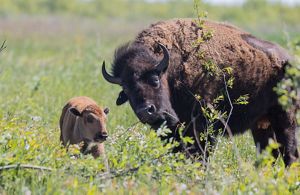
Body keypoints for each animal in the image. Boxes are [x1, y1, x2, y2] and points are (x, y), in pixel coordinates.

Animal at [101, 18, 298, 166]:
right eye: (126, 90)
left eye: (154, 80)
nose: (146, 112)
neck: (171, 68)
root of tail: (289, 61)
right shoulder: (172, 132)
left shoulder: (203, 127)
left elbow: (201, 156)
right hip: (261, 125)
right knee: (270, 156)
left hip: (285, 119)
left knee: (290, 154)